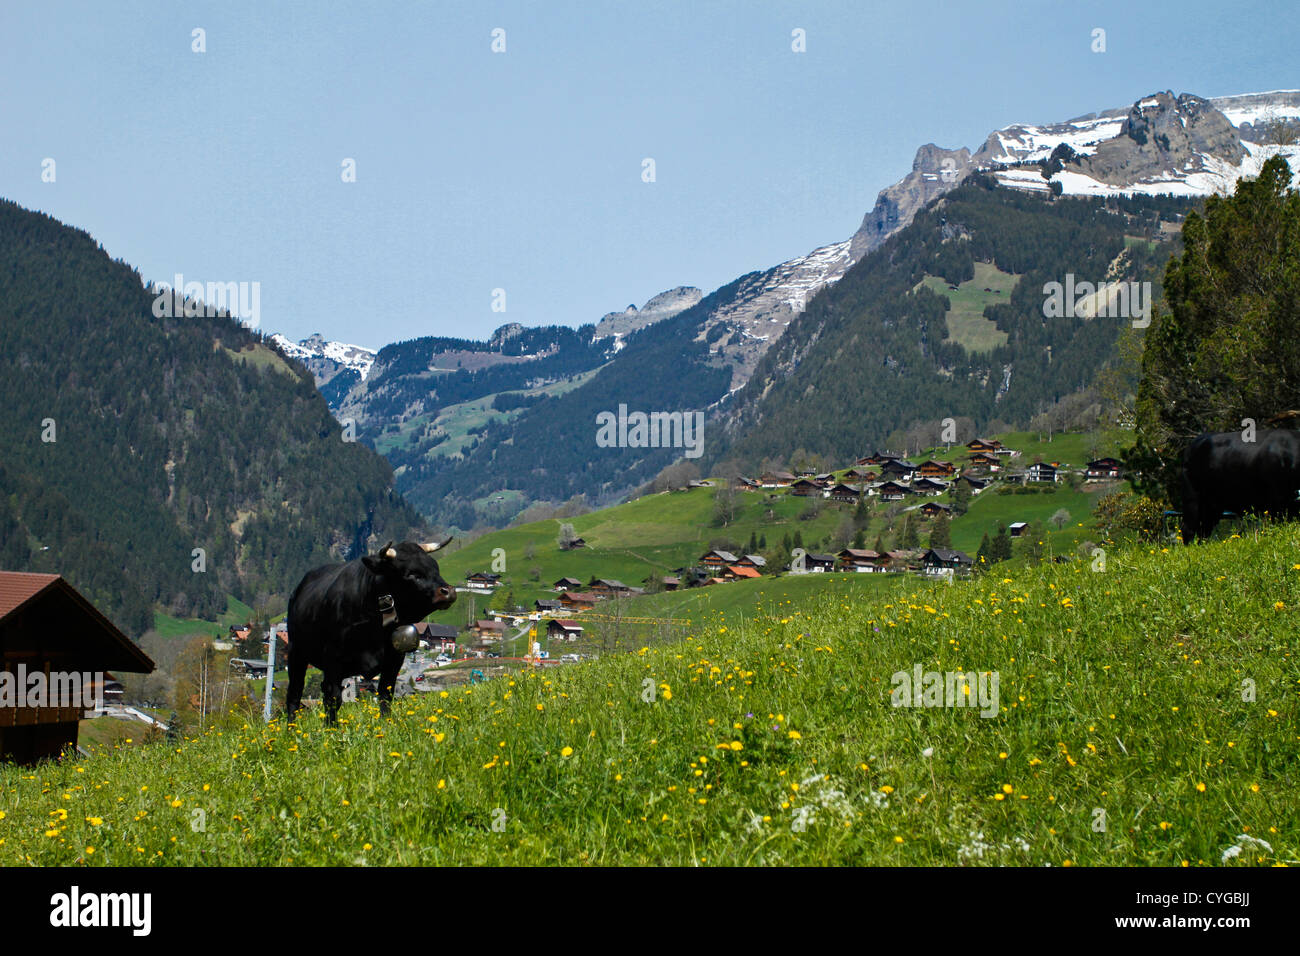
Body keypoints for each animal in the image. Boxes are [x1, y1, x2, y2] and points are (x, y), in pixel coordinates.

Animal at [288, 538, 457, 723]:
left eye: (435, 567)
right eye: (412, 574)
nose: (449, 591)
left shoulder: (394, 658)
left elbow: (385, 693)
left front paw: (386, 723)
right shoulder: (333, 660)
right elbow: (333, 698)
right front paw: (331, 727)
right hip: (296, 653)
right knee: (295, 694)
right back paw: (291, 728)